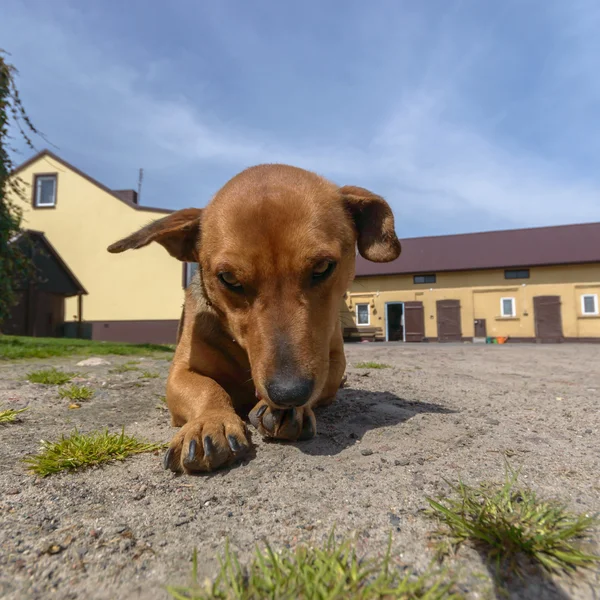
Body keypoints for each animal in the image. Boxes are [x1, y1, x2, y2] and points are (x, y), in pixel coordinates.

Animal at [108, 164, 400, 474]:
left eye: (323, 267)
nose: (289, 394)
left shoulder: (331, 358)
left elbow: (325, 379)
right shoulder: (180, 372)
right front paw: (209, 421)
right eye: (228, 278)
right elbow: (205, 388)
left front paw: (291, 410)